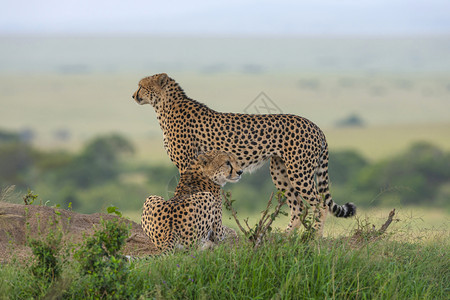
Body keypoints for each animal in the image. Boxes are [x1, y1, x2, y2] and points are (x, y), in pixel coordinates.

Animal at [132, 73, 356, 234]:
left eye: (141, 85)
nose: (133, 96)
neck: (164, 106)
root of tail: (315, 126)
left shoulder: (187, 163)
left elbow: (185, 192)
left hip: (299, 171)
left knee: (320, 205)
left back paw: (313, 239)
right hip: (280, 171)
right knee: (298, 206)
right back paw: (285, 238)